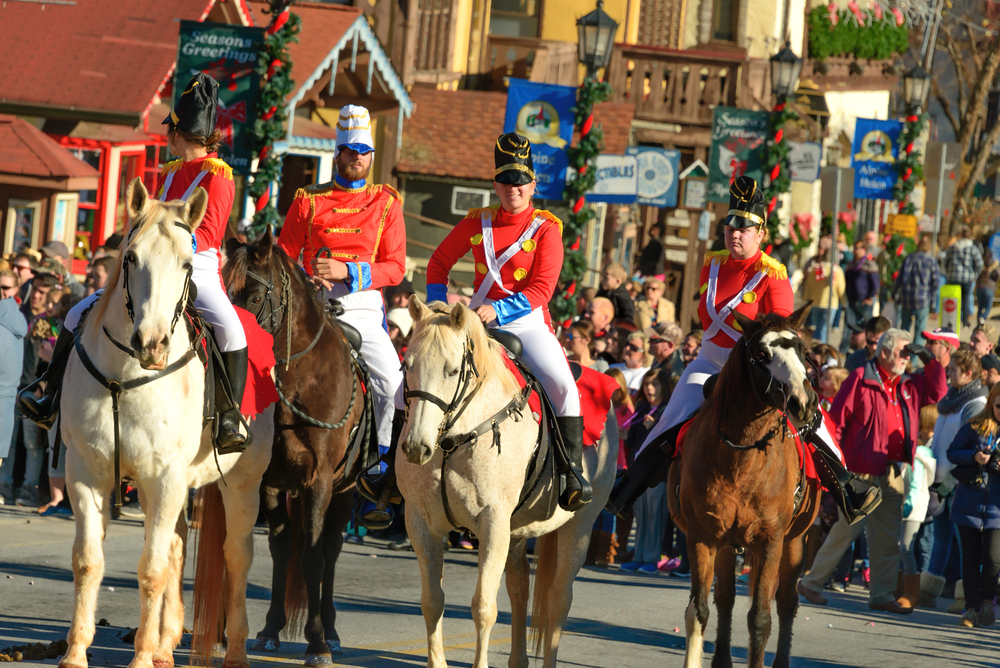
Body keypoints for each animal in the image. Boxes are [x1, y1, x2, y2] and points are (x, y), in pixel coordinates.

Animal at [56, 180, 272, 668]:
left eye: (188, 263)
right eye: (131, 257)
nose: (152, 344)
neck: (124, 376)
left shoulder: (165, 476)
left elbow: (151, 570)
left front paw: (139, 658)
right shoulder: (86, 473)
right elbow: (88, 561)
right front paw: (76, 652)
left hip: (241, 484)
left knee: (236, 557)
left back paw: (233, 651)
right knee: (175, 546)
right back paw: (165, 644)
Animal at [221, 230, 370, 664]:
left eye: (255, 297)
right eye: (224, 292)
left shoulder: (318, 481)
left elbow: (313, 558)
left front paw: (317, 642)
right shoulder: (270, 482)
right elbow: (282, 550)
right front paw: (270, 629)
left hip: (345, 491)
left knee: (332, 549)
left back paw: (332, 632)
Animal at [396, 300, 616, 668]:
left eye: (452, 371)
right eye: (406, 365)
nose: (416, 446)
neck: (453, 441)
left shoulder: (492, 522)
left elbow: (483, 608)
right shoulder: (421, 523)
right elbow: (432, 601)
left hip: (579, 525)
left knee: (558, 598)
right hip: (516, 532)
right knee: (520, 587)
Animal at [672, 304, 820, 668]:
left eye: (803, 350)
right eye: (762, 354)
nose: (803, 402)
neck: (743, 457)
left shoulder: (771, 542)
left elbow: (761, 618)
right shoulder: (702, 538)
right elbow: (699, 610)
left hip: (794, 543)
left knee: (787, 602)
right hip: (728, 545)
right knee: (725, 598)